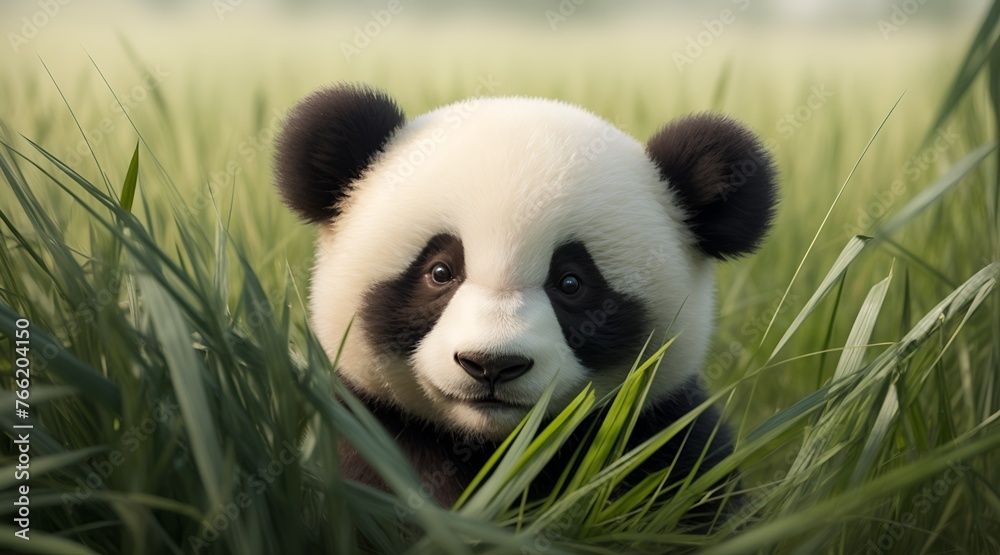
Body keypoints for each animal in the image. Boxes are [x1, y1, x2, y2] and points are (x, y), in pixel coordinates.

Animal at [274, 83, 777, 515]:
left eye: (571, 283)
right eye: (440, 272)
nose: (491, 365)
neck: (494, 448)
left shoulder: (663, 435)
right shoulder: (365, 434)